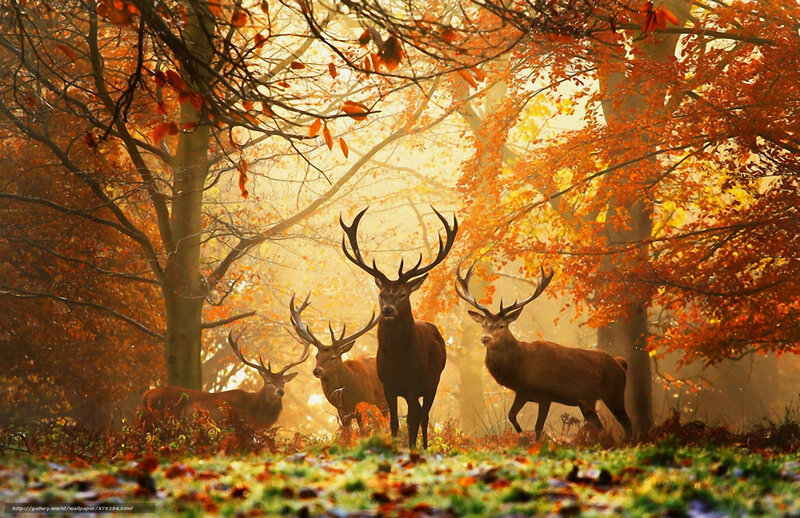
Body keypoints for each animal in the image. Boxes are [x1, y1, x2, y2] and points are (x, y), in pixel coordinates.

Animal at [340, 206, 457, 449]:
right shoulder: (388, 386)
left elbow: (412, 421)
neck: (398, 360)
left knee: (424, 416)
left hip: (433, 382)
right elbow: (394, 422)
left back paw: (424, 447)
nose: (388, 310)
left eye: (403, 294)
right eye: (381, 294)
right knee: (420, 414)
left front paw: (412, 449)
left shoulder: (414, 385)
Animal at [455, 263, 632, 441]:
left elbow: (538, 426)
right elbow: (511, 415)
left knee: (627, 421)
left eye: (501, 325)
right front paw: (522, 435)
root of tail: (621, 363)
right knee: (600, 426)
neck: (521, 367)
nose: (485, 338)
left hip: (614, 392)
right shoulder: (523, 392)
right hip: (587, 401)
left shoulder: (546, 394)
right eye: (483, 324)